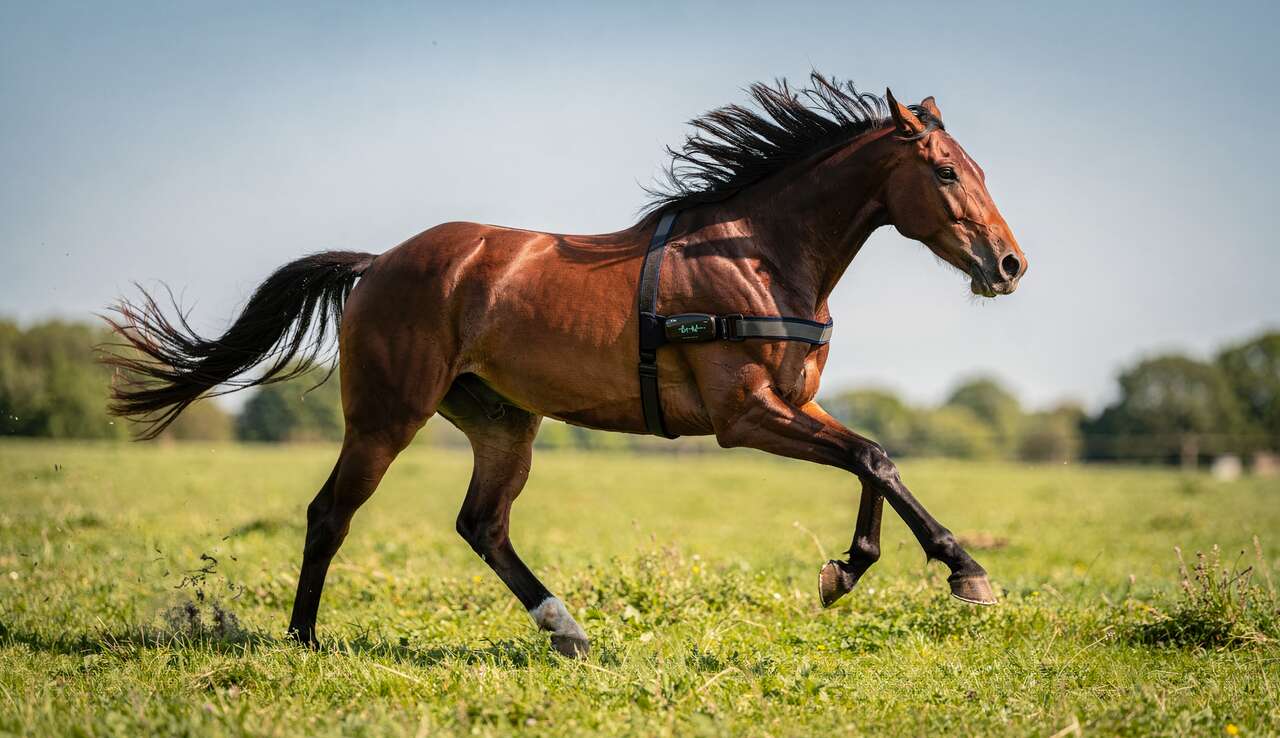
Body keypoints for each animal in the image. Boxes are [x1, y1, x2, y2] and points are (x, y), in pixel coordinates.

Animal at [103, 73, 1027, 658]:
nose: (1010, 264)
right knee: (330, 513)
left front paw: (849, 570)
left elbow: (875, 459)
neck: (757, 255)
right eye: (946, 171)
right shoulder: (746, 417)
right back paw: (303, 640)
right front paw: (966, 573)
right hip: (387, 417)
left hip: (504, 424)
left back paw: (566, 628)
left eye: (981, 169)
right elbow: (874, 457)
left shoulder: (794, 406)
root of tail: (377, 263)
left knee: (482, 525)